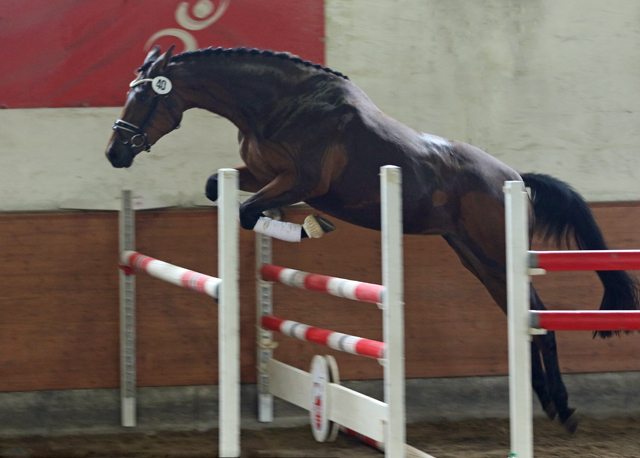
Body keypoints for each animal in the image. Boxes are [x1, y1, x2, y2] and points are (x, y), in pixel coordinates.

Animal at [106, 45, 640, 432]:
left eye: (144, 96)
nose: (114, 153)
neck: (281, 105)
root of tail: (514, 178)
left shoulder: (302, 181)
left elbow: (244, 209)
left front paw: (307, 226)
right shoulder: (261, 172)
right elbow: (221, 191)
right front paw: (286, 222)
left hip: (497, 254)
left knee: (539, 317)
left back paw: (563, 409)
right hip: (477, 260)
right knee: (525, 317)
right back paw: (549, 404)